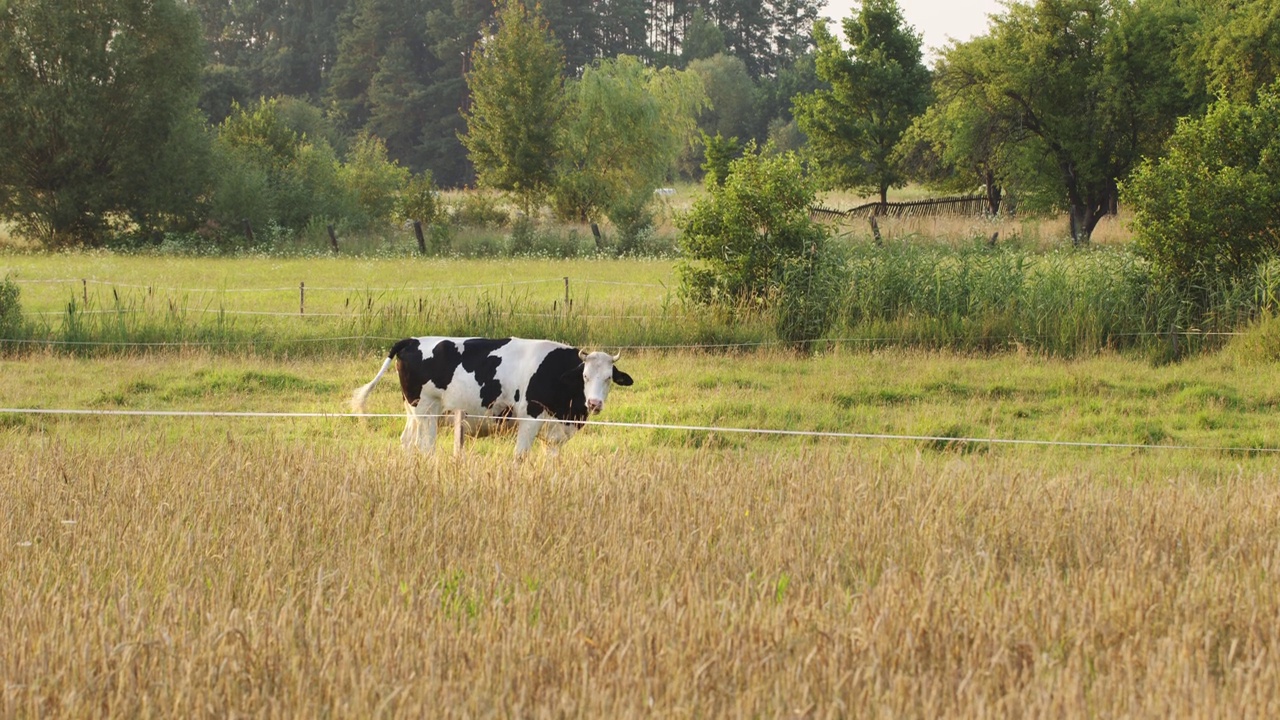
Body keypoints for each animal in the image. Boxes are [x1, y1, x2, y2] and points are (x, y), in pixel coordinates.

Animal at [350, 335, 634, 453]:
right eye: (585, 377)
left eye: (608, 378)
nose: (594, 403)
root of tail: (412, 340)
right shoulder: (529, 420)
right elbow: (520, 456)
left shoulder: (556, 432)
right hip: (427, 411)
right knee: (425, 447)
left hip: (413, 412)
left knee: (407, 442)